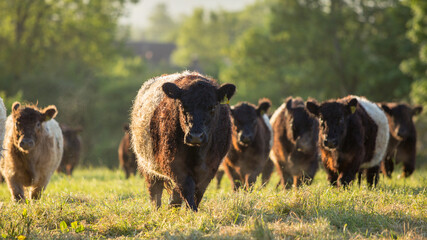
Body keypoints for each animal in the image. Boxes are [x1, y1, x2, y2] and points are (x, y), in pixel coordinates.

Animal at [131, 71, 237, 210]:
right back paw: (157, 210)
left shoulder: (211, 166)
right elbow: (187, 187)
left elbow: (198, 191)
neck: (198, 153)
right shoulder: (173, 162)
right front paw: (192, 211)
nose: (196, 136)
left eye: (213, 107)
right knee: (155, 192)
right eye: (182, 106)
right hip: (147, 165)